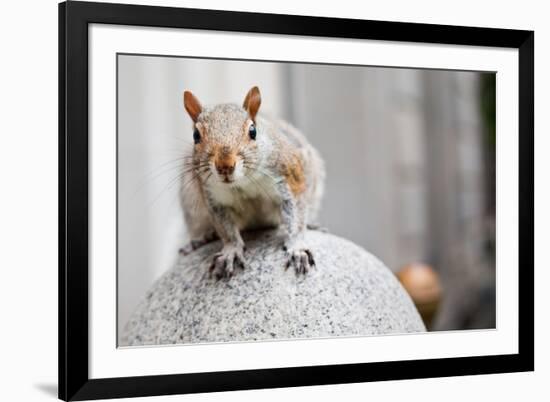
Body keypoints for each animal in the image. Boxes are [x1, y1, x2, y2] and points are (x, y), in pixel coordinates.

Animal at [181, 86, 326, 278]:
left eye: (253, 131)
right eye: (195, 135)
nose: (225, 165)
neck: (242, 182)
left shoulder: (290, 177)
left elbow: (295, 215)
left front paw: (297, 248)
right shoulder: (215, 198)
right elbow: (226, 229)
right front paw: (231, 251)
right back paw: (201, 238)